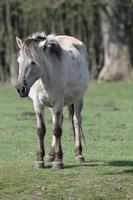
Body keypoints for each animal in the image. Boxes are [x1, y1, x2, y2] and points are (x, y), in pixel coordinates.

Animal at [15, 32, 89, 169]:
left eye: (33, 62)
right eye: (19, 61)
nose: (20, 88)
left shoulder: (58, 102)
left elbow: (57, 130)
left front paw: (58, 161)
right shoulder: (38, 104)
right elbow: (41, 130)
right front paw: (39, 160)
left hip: (78, 99)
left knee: (76, 121)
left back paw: (78, 154)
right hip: (51, 106)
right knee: (58, 120)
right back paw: (51, 154)